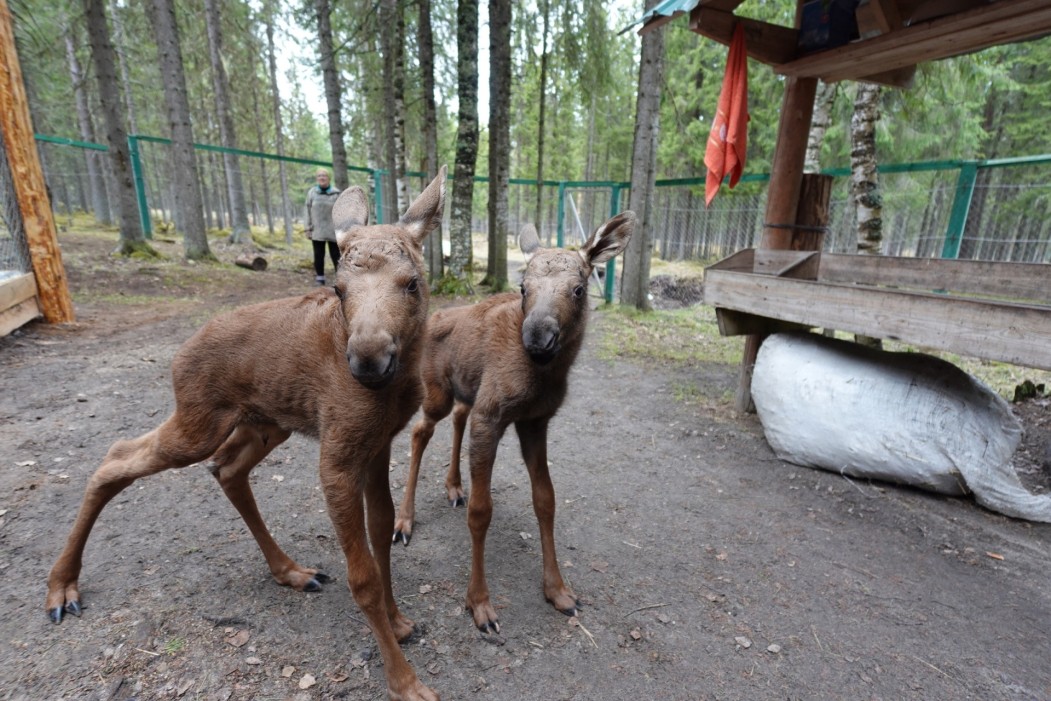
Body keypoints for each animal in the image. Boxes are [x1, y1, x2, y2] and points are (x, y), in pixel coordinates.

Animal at [46, 168, 447, 701]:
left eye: (412, 283)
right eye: (339, 289)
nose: (368, 361)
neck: (396, 388)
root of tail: (179, 354)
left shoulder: (379, 441)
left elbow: (382, 534)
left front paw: (399, 620)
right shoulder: (339, 453)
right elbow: (361, 574)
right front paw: (404, 681)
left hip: (265, 423)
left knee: (225, 469)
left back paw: (291, 571)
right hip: (200, 421)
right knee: (118, 455)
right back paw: (61, 587)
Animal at [395, 211, 634, 634]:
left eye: (579, 289)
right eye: (523, 287)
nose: (538, 337)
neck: (542, 379)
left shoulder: (534, 421)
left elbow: (546, 499)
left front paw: (558, 590)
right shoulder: (492, 415)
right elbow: (481, 511)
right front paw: (479, 602)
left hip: (467, 393)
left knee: (457, 417)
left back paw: (453, 486)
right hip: (437, 391)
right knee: (421, 430)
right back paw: (405, 520)